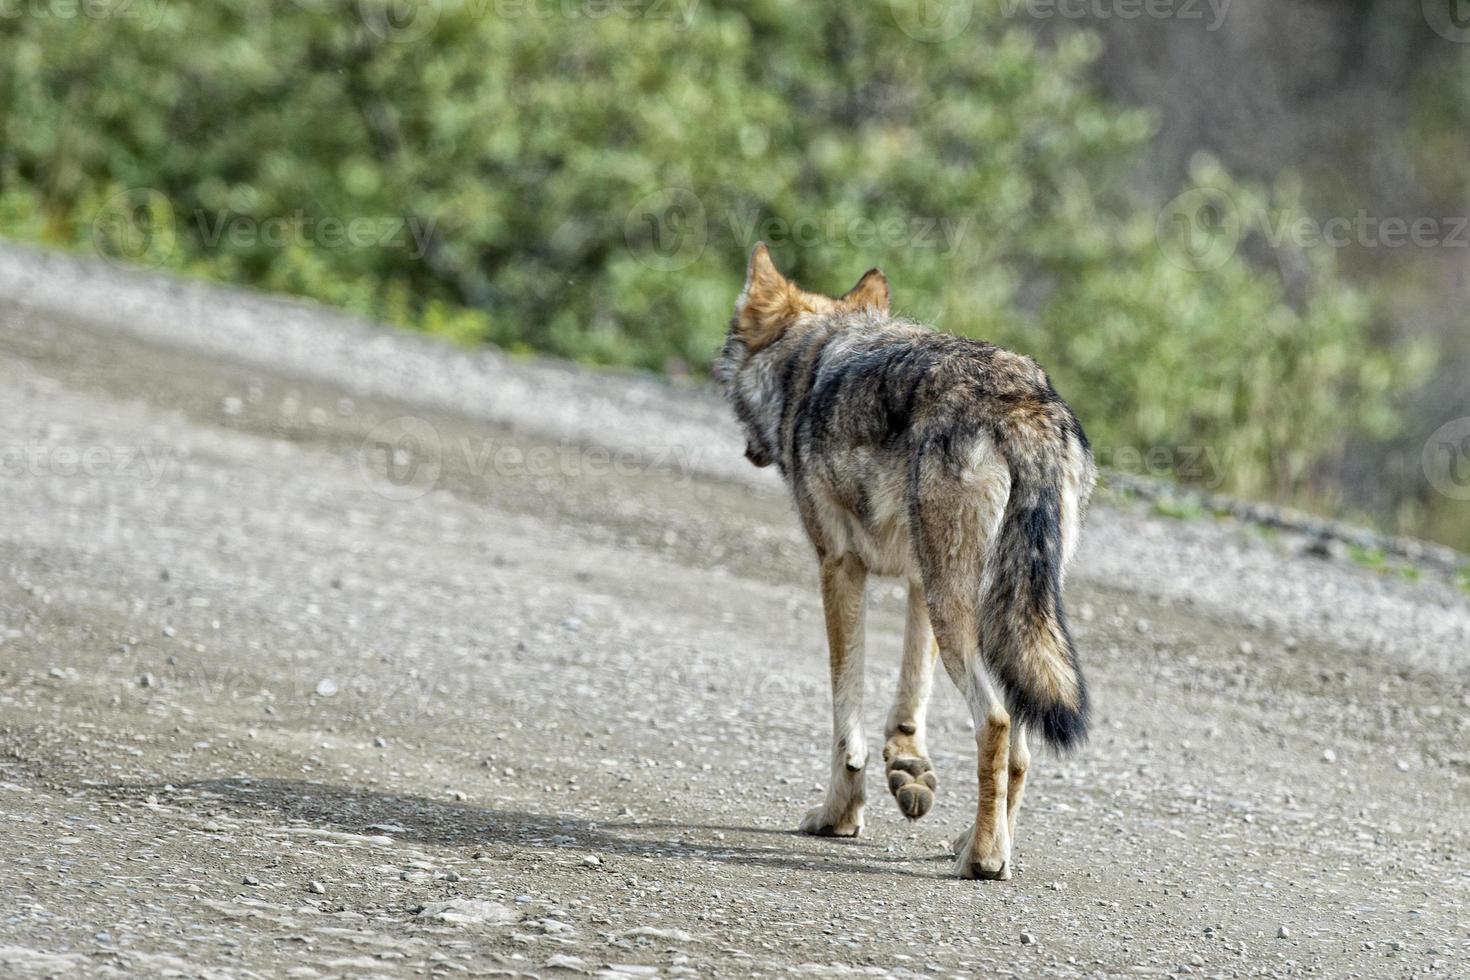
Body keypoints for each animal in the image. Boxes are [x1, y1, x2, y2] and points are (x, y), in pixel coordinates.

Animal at [717, 243, 1099, 881]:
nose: (747, 449)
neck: (811, 362)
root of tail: (1025, 404)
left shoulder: (839, 567)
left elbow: (844, 715)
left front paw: (838, 816)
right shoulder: (919, 580)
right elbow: (909, 694)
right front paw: (908, 769)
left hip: (962, 611)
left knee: (995, 724)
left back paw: (982, 857)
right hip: (993, 609)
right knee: (1020, 749)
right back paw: (982, 843)